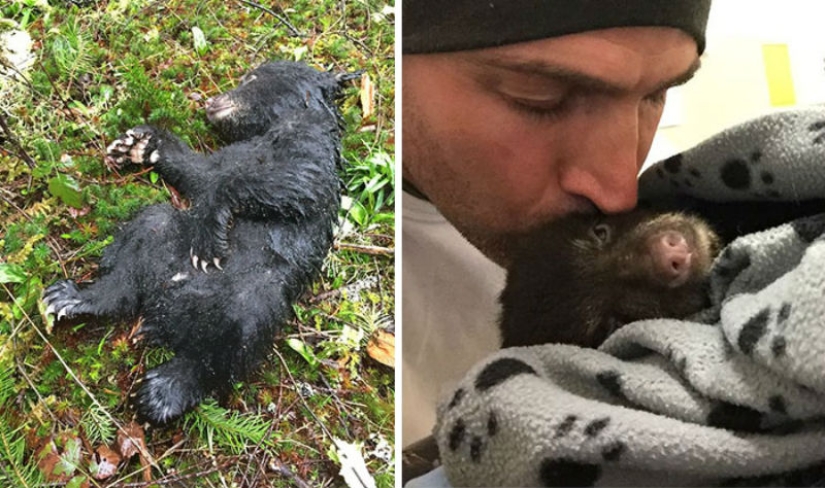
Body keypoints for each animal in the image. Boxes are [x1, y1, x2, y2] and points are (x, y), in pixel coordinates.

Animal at [43, 60, 357, 424]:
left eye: (251, 77)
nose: (210, 102)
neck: (274, 125)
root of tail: (161, 314)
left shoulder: (308, 144)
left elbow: (294, 179)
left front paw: (208, 238)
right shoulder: (227, 155)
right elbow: (201, 171)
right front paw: (142, 144)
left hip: (255, 292)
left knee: (232, 344)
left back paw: (162, 392)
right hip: (160, 247)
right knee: (142, 240)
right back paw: (73, 298)